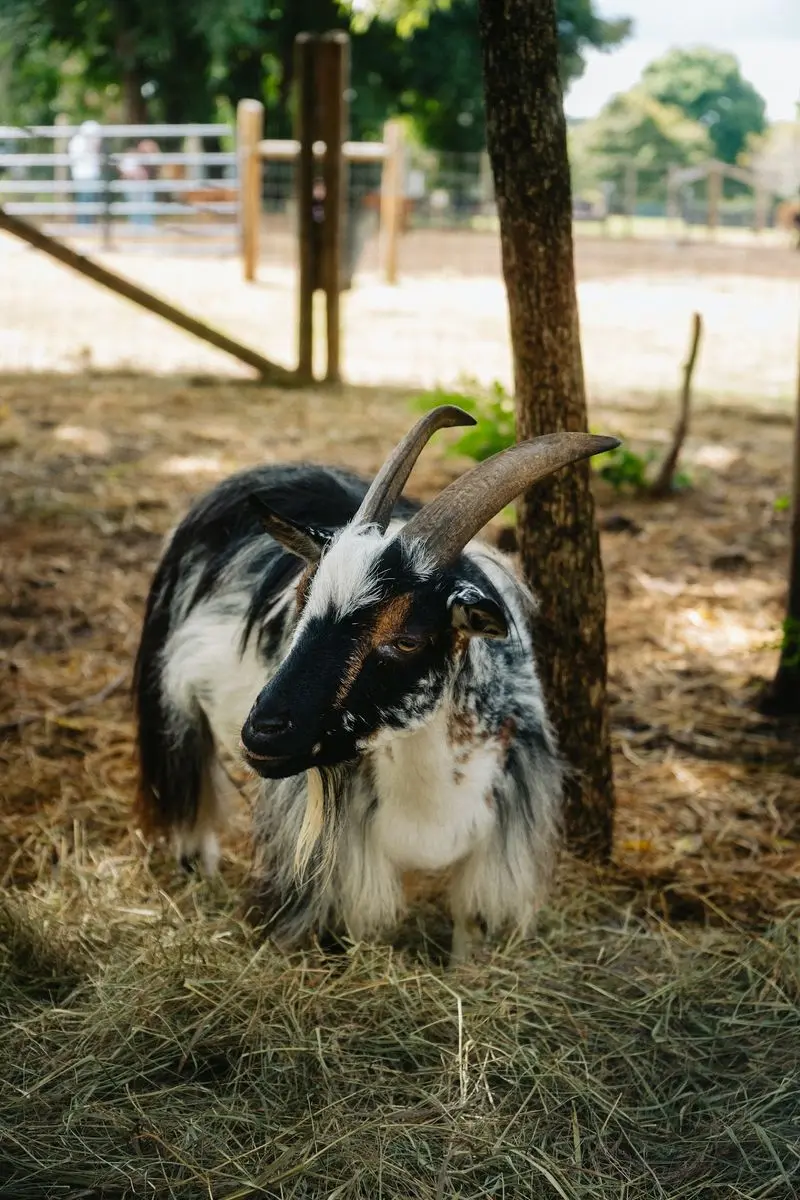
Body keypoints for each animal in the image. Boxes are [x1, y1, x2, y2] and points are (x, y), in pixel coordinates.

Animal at [134, 408, 618, 960]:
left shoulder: (495, 846)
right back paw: (199, 868)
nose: (262, 731)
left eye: (407, 639)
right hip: (173, 702)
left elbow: (469, 928)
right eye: (301, 600)